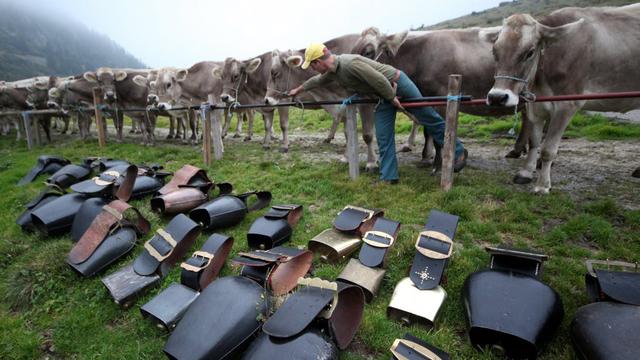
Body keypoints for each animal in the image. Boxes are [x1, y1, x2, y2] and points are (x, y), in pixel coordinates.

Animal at [350, 27, 528, 163]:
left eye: (368, 52)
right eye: (352, 50)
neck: (421, 56)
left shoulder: (441, 99)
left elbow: (438, 134)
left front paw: (437, 162)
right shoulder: (425, 100)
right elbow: (428, 131)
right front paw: (426, 157)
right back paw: (519, 150)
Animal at [484, 4, 640, 193]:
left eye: (530, 52)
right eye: (494, 51)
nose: (497, 97)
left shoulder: (567, 104)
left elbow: (548, 149)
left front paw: (542, 185)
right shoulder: (535, 106)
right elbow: (534, 142)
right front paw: (526, 172)